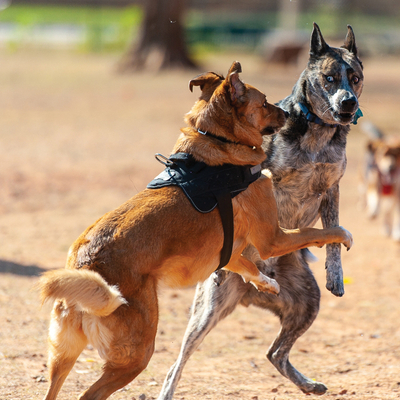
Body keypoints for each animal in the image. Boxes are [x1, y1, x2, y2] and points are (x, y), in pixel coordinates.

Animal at [38, 61, 354, 400]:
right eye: (265, 101)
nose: (290, 113)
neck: (220, 147)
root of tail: (84, 266)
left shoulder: (228, 252)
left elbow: (246, 266)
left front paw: (267, 282)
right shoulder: (272, 239)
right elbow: (323, 232)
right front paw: (343, 236)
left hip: (63, 355)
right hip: (137, 352)